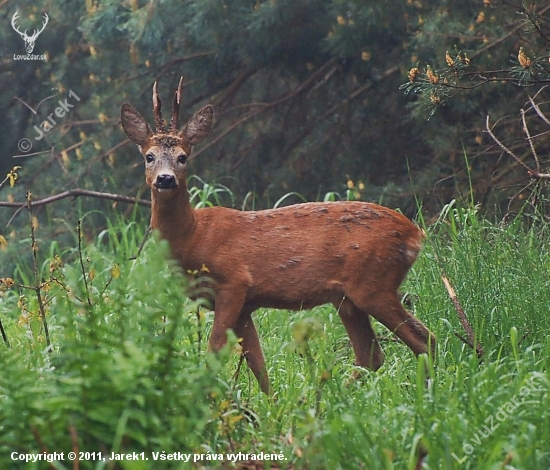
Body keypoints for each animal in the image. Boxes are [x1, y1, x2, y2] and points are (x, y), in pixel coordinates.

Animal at [121, 77, 436, 392]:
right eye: (149, 157)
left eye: (183, 157)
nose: (165, 179)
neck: (194, 236)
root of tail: (415, 236)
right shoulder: (245, 305)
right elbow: (258, 367)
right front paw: (268, 404)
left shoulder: (234, 282)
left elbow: (214, 353)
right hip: (347, 297)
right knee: (373, 354)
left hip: (373, 282)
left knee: (422, 339)